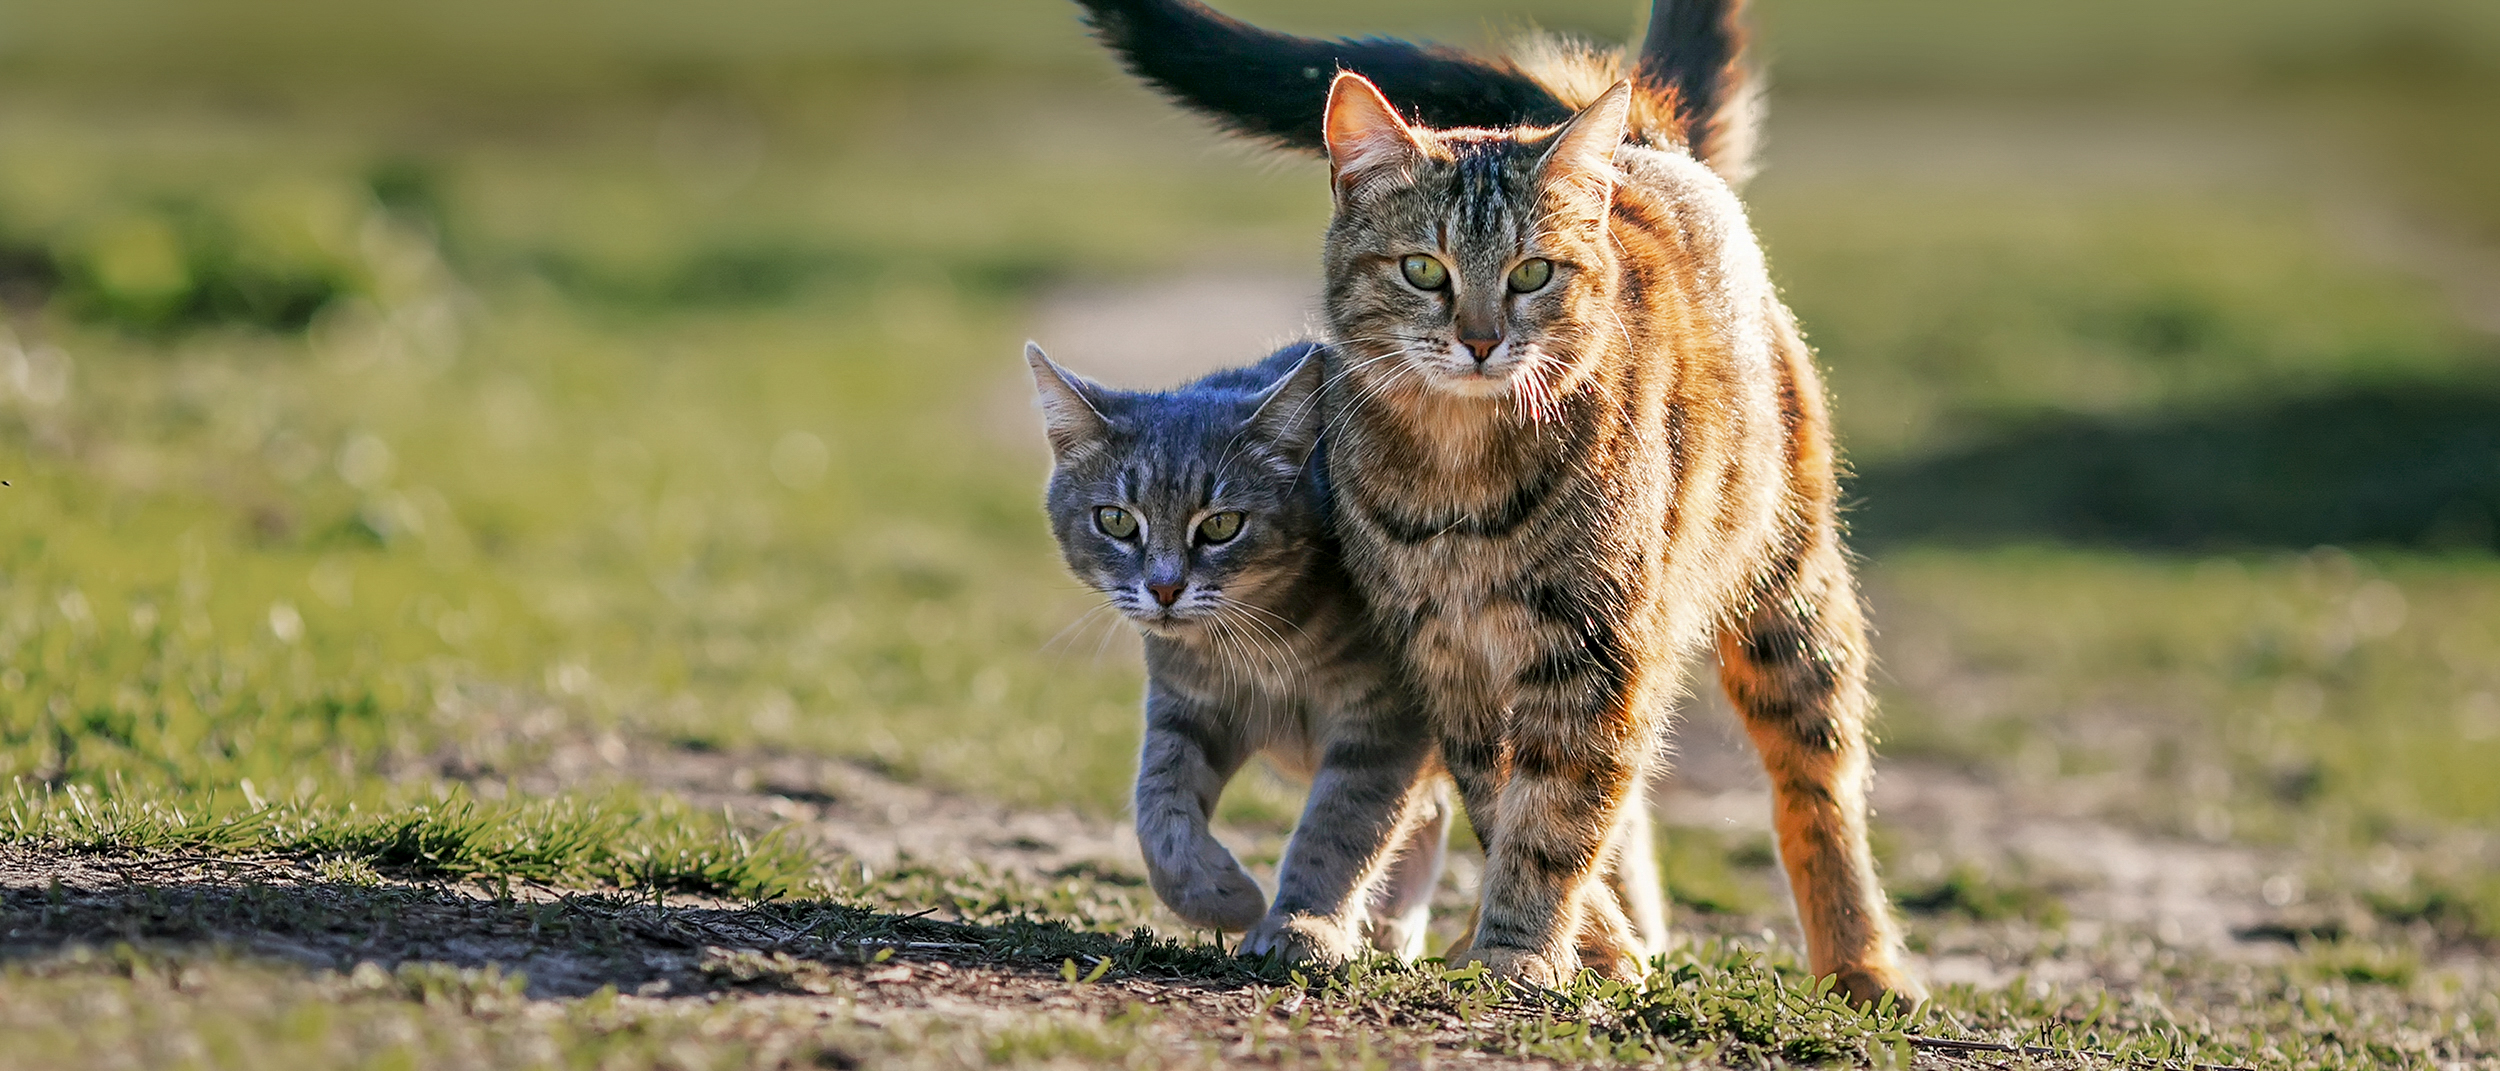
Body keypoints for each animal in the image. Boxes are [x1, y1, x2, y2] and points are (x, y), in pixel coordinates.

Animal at [1015, 337, 1450, 955]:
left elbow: (1342, 826)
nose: (1164, 588)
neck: (1263, 643)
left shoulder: (1385, 721)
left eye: (1221, 525)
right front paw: (1221, 895)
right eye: (1116, 520)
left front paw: (1304, 924)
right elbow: (1159, 805)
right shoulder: (1185, 707)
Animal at [1070, 0, 1910, 1005]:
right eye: (1424, 270)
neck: (1456, 479)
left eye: (1533, 273)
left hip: (1788, 590)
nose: (1479, 338)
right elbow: (1502, 792)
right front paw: (1587, 945)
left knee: (1819, 784)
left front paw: (1525, 946)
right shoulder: (1444, 659)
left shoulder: (1593, 648)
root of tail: (1643, 140)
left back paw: (1863, 960)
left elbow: (1556, 810)